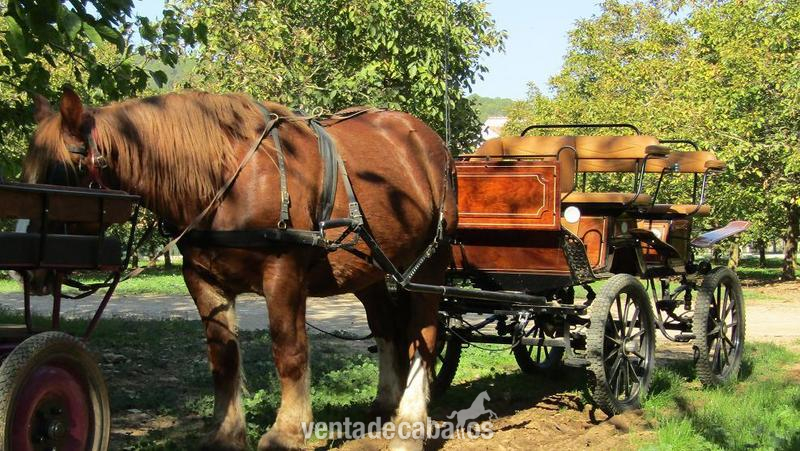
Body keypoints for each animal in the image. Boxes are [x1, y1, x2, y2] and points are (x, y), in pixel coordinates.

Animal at [23, 89, 457, 451]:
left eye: (61, 173)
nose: (28, 272)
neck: (227, 177)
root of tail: (428, 141)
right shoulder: (202, 281)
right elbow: (223, 358)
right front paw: (226, 432)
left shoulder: (283, 274)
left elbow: (289, 351)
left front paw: (287, 431)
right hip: (370, 269)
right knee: (388, 329)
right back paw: (387, 404)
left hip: (428, 265)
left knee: (423, 335)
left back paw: (410, 424)